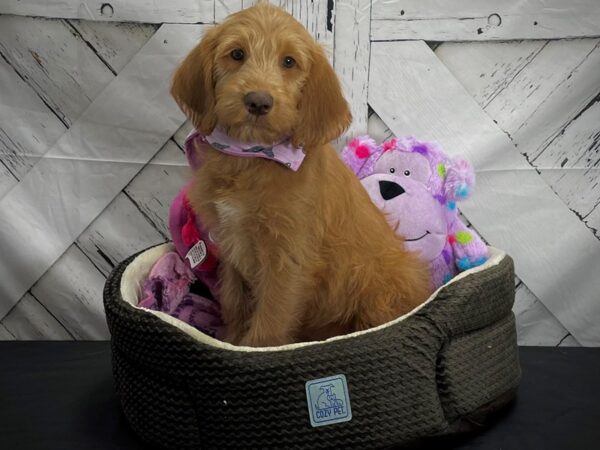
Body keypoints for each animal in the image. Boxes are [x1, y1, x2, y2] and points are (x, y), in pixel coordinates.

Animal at [169, 3, 432, 346]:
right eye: (237, 54)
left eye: (289, 62)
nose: (258, 102)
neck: (252, 158)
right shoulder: (230, 248)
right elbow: (235, 304)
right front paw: (230, 342)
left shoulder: (286, 261)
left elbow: (268, 326)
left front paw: (252, 350)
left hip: (380, 287)